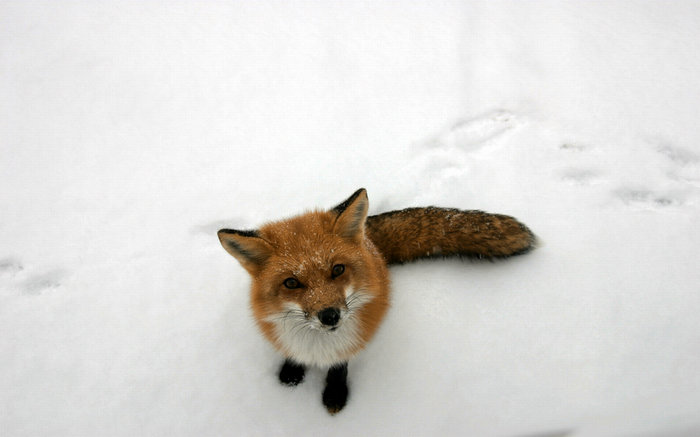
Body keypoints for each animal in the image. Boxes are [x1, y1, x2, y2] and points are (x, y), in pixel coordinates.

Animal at [217, 188, 536, 414]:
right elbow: (292, 355)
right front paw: (291, 373)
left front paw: (335, 393)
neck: (319, 347)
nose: (330, 316)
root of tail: (370, 241)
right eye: (292, 283)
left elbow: (340, 367)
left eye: (337, 270)